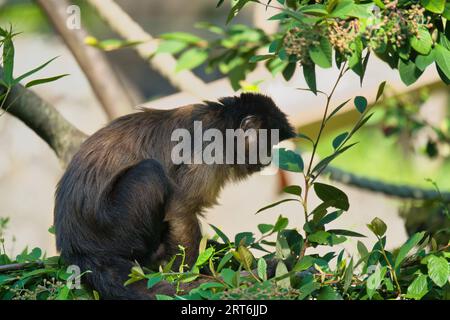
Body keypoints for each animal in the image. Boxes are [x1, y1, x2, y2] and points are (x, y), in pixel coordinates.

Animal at [54, 92, 296, 300]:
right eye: (268, 143)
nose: (269, 156)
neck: (223, 126)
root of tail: (77, 247)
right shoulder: (210, 149)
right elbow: (180, 211)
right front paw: (192, 278)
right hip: (113, 226)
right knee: (149, 172)